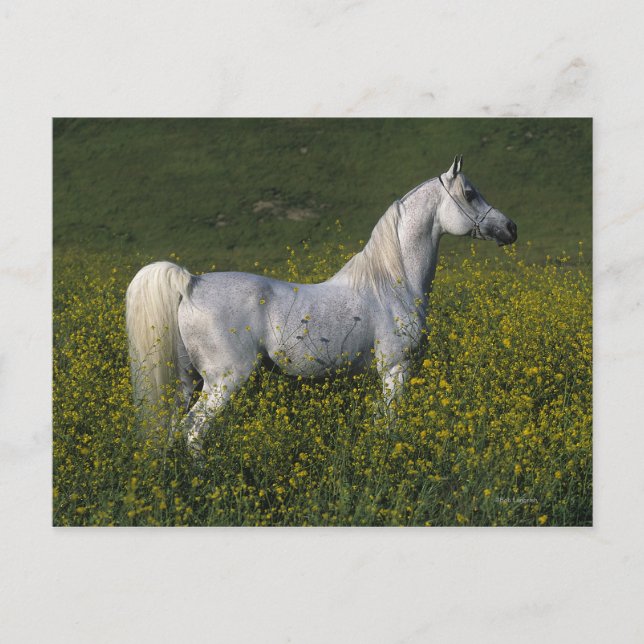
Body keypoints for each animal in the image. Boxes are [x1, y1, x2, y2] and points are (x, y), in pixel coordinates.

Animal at [126, 156, 517, 449]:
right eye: (470, 193)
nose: (510, 228)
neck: (392, 284)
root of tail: (191, 283)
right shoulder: (396, 369)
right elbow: (390, 424)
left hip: (185, 383)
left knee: (173, 429)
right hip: (224, 381)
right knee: (193, 431)